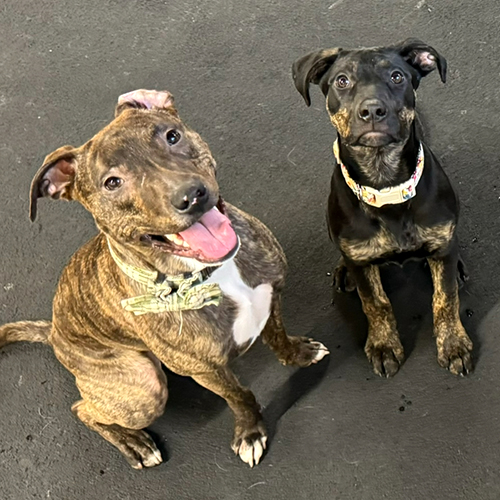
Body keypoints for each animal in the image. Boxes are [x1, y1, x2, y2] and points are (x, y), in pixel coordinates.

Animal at [0, 90, 328, 468]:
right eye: (112, 182)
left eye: (172, 136)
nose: (191, 195)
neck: (215, 273)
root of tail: (54, 332)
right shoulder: (206, 371)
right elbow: (239, 395)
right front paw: (250, 431)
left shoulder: (270, 297)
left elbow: (277, 337)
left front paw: (299, 353)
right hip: (145, 388)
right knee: (83, 409)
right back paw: (134, 444)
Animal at [292, 40, 470, 376]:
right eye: (342, 81)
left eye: (397, 76)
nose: (372, 110)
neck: (386, 186)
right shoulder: (362, 262)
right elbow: (375, 303)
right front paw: (383, 345)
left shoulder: (442, 243)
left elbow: (446, 297)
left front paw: (453, 343)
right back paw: (343, 271)